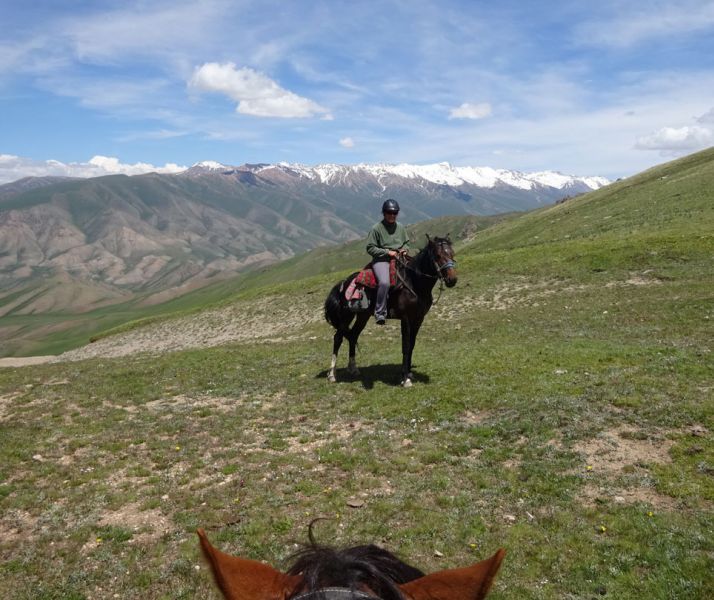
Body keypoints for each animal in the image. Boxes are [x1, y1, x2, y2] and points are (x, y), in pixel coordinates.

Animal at [322, 233, 456, 384]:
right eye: (438, 256)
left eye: (452, 253)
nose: (452, 280)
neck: (414, 283)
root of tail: (344, 282)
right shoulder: (406, 318)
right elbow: (406, 346)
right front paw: (405, 379)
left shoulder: (418, 318)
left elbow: (412, 345)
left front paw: (409, 373)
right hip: (346, 316)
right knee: (338, 338)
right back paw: (332, 375)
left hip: (363, 316)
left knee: (353, 335)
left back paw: (353, 369)